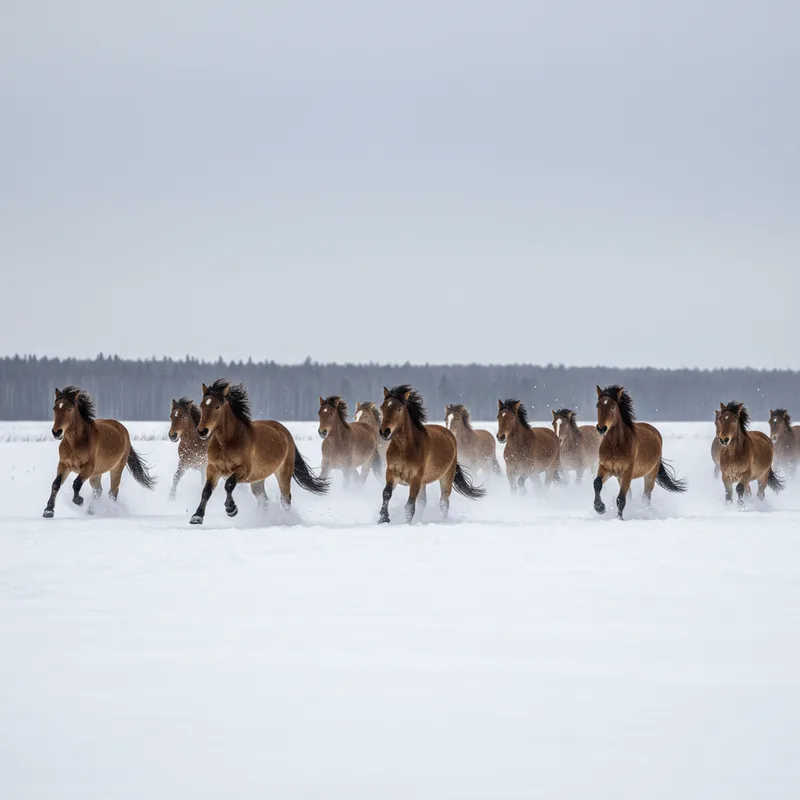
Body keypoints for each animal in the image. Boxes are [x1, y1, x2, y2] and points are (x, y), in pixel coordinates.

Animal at [43, 386, 156, 517]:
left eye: (69, 409)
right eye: (55, 408)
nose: (57, 432)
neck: (75, 443)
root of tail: (122, 429)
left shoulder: (88, 468)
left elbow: (76, 483)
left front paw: (79, 500)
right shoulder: (64, 465)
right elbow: (56, 484)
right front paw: (48, 511)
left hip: (116, 469)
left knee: (112, 492)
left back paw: (110, 511)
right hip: (96, 474)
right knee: (98, 491)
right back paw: (91, 512)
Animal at [189, 380, 329, 524]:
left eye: (217, 406)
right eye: (202, 405)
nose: (202, 431)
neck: (227, 443)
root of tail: (285, 432)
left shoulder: (244, 470)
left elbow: (229, 485)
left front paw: (231, 509)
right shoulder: (213, 468)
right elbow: (206, 491)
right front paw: (197, 516)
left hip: (283, 473)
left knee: (285, 499)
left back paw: (287, 520)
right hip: (257, 479)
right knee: (264, 501)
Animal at [378, 385, 485, 523]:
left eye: (399, 409)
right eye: (382, 407)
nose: (384, 432)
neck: (404, 449)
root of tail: (449, 434)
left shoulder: (415, 478)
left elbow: (409, 505)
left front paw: (407, 523)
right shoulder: (391, 473)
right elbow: (386, 493)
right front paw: (383, 518)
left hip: (446, 478)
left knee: (444, 502)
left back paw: (442, 520)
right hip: (423, 483)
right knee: (423, 502)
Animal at [593, 385, 687, 519]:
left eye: (613, 407)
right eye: (598, 406)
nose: (602, 428)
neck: (615, 446)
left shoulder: (627, 472)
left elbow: (620, 499)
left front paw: (619, 519)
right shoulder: (606, 468)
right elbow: (597, 483)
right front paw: (600, 508)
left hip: (650, 476)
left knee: (646, 497)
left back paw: (644, 513)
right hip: (620, 478)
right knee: (630, 495)